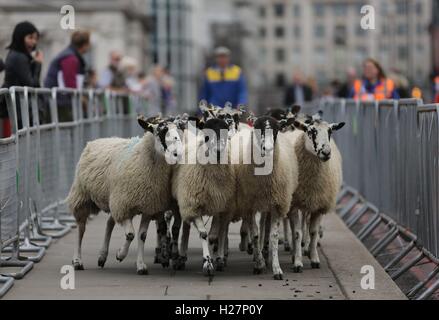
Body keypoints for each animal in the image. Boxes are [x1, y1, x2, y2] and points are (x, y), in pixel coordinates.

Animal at [68, 115, 185, 276]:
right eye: (160, 132)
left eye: (179, 132)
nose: (178, 154)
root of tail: (95, 141)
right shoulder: (124, 207)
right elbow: (130, 234)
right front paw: (120, 254)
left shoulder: (148, 206)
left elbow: (141, 236)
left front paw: (141, 265)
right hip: (83, 197)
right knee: (80, 228)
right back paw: (77, 261)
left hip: (113, 200)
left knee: (109, 223)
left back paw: (102, 256)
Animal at [288, 110, 348, 272]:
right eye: (311, 131)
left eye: (330, 131)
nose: (326, 152)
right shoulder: (294, 204)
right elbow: (297, 233)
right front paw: (297, 262)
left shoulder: (319, 204)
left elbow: (313, 232)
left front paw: (314, 259)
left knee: (306, 222)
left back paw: (306, 248)